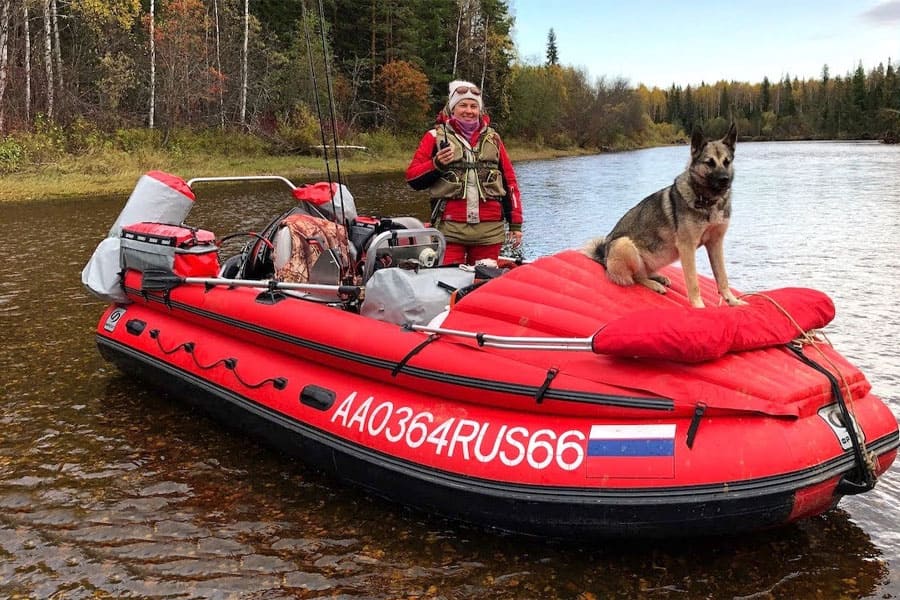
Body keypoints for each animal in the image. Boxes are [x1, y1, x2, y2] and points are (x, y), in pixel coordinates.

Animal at [584, 123, 744, 310]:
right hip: (625, 244)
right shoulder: (687, 247)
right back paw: (655, 285)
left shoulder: (715, 244)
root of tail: (604, 257)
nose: (725, 179)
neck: (707, 202)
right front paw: (698, 306)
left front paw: (733, 301)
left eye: (727, 162)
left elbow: (722, 277)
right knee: (635, 278)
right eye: (709, 163)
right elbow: (693, 282)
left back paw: (659, 278)